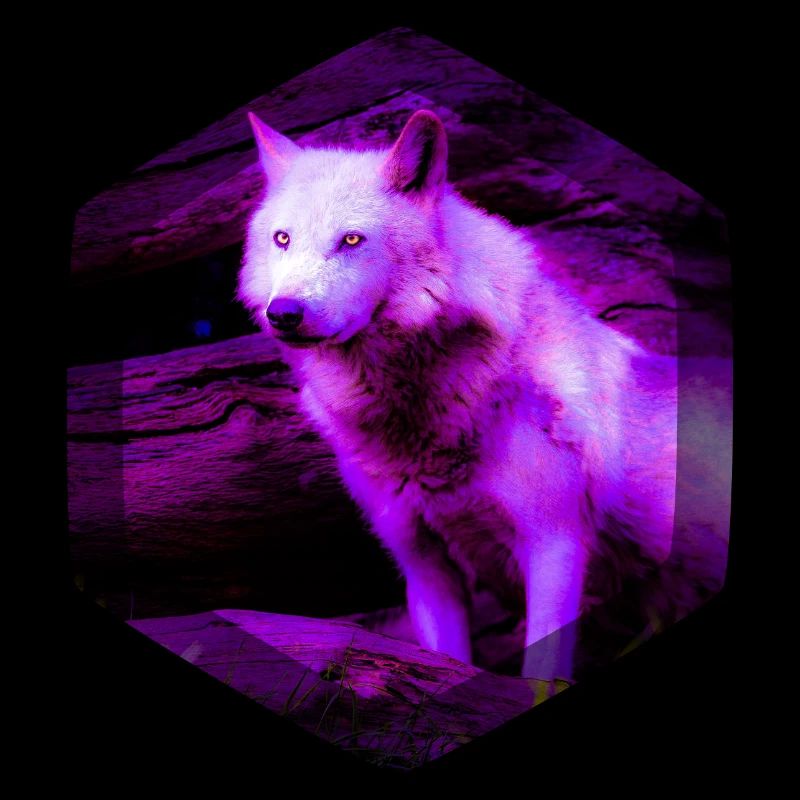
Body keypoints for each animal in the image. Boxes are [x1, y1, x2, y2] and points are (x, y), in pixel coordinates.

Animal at [238, 109, 716, 680]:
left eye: (351, 241)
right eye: (282, 238)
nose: (284, 313)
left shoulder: (555, 547)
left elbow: (538, 675)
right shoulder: (421, 563)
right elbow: (447, 663)